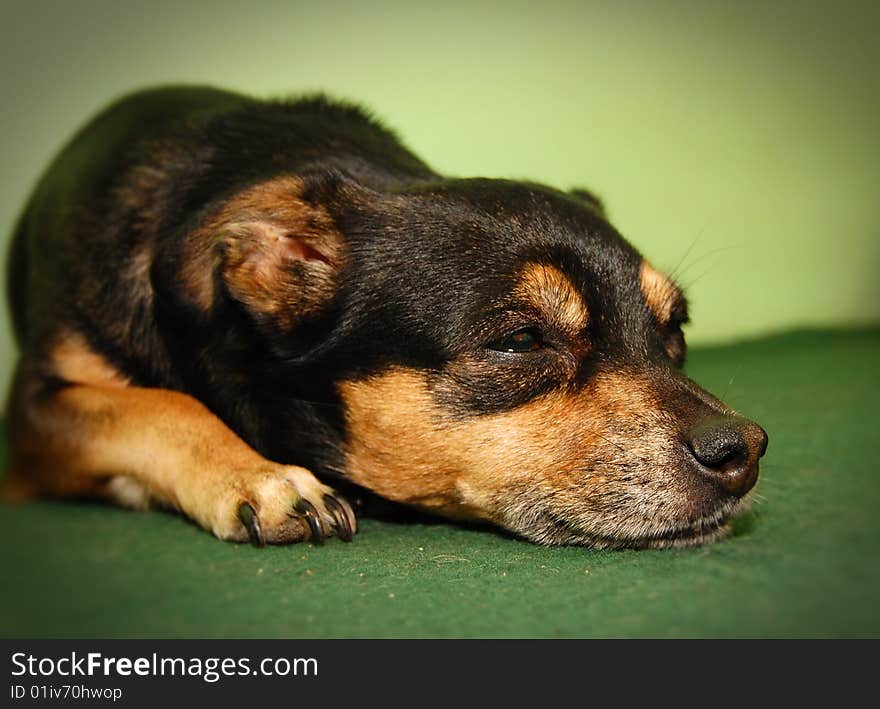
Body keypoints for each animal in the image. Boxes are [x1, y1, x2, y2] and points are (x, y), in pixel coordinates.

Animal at [3, 84, 768, 548]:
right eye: (521, 340)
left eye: (674, 330)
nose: (745, 449)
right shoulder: (33, 414)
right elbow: (160, 406)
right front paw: (263, 479)